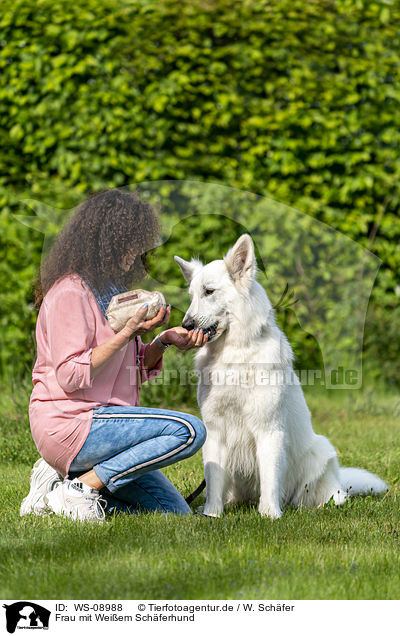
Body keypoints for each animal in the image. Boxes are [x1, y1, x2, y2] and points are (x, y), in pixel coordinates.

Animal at [175, 234, 388, 516]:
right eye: (192, 295)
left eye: (209, 292)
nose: (186, 325)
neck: (235, 353)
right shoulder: (215, 430)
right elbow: (213, 478)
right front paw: (212, 513)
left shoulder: (269, 430)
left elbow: (269, 478)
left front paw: (270, 515)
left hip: (321, 452)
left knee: (331, 496)